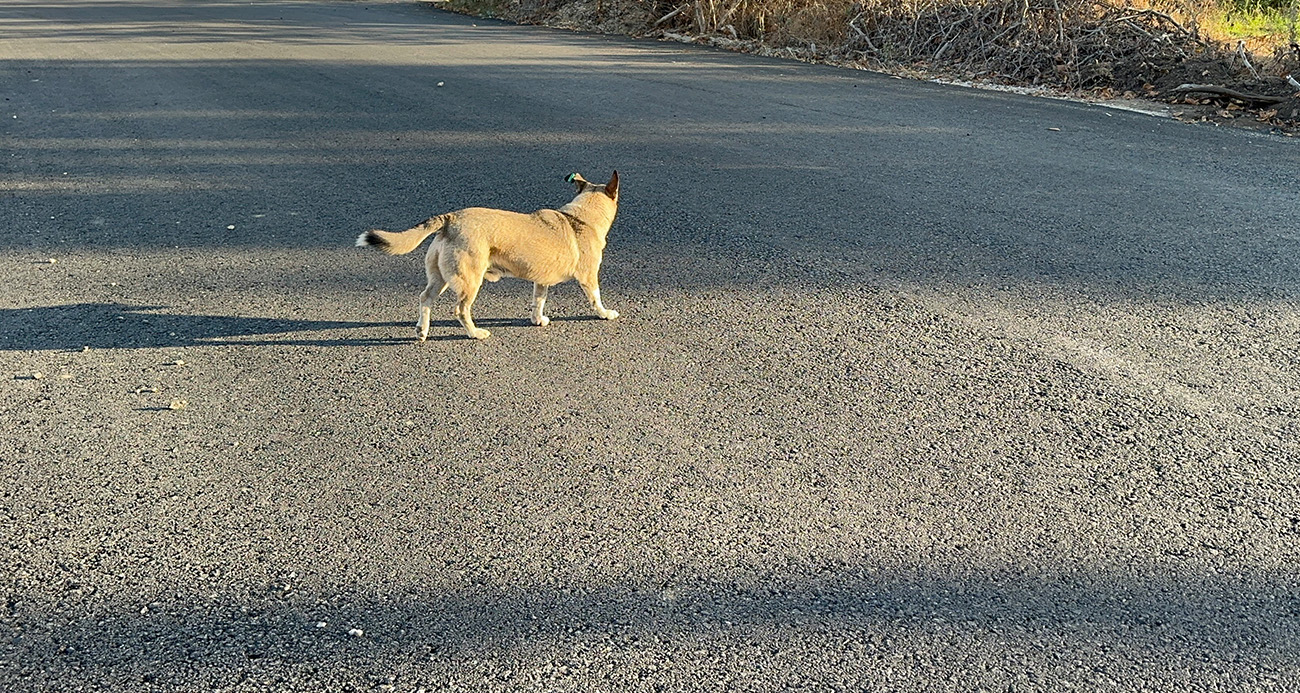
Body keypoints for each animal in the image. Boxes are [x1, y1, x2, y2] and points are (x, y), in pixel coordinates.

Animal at [356, 170, 618, 338]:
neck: (580, 217)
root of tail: (451, 218)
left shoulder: (541, 280)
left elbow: (538, 301)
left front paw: (537, 320)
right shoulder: (588, 276)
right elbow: (595, 298)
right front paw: (605, 313)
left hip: (440, 277)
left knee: (425, 298)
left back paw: (422, 331)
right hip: (470, 280)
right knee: (460, 310)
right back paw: (475, 333)